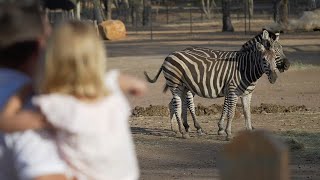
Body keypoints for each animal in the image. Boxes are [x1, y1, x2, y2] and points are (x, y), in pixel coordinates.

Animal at [144, 30, 278, 140]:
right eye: (264, 60)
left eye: (276, 57)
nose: (274, 77)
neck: (244, 69)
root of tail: (169, 55)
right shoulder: (232, 91)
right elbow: (231, 113)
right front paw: (227, 133)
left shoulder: (247, 94)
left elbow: (247, 113)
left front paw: (249, 132)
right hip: (175, 84)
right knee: (178, 105)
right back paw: (183, 132)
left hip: (184, 87)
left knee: (178, 104)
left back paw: (181, 129)